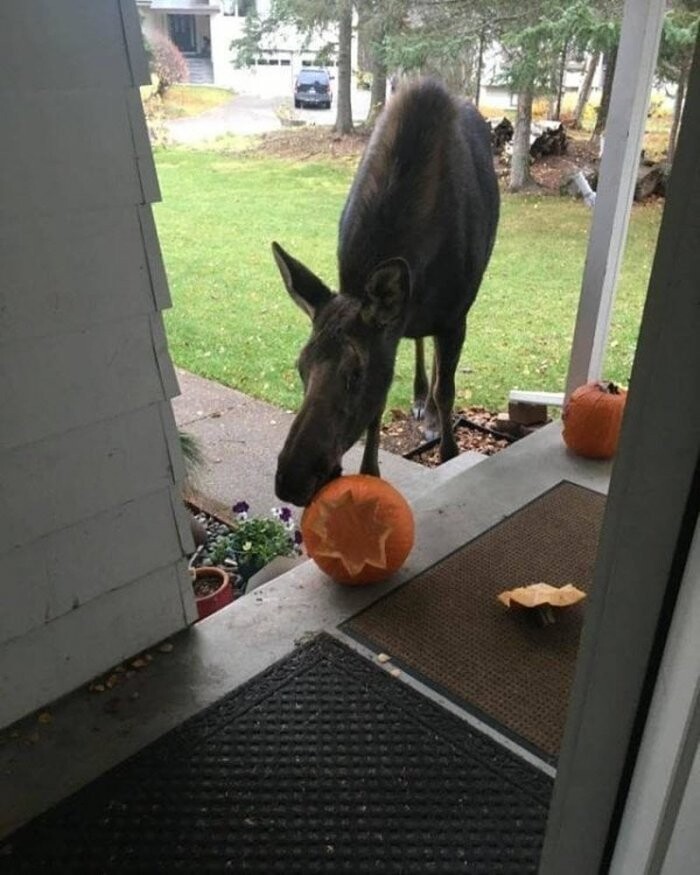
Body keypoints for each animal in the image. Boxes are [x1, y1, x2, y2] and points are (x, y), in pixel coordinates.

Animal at [272, 80, 498, 512]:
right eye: (300, 365)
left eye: (355, 372)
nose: (291, 479)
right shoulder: (393, 325)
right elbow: (377, 408)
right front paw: (370, 471)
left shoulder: (455, 316)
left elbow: (447, 391)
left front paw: (448, 452)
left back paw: (430, 413)